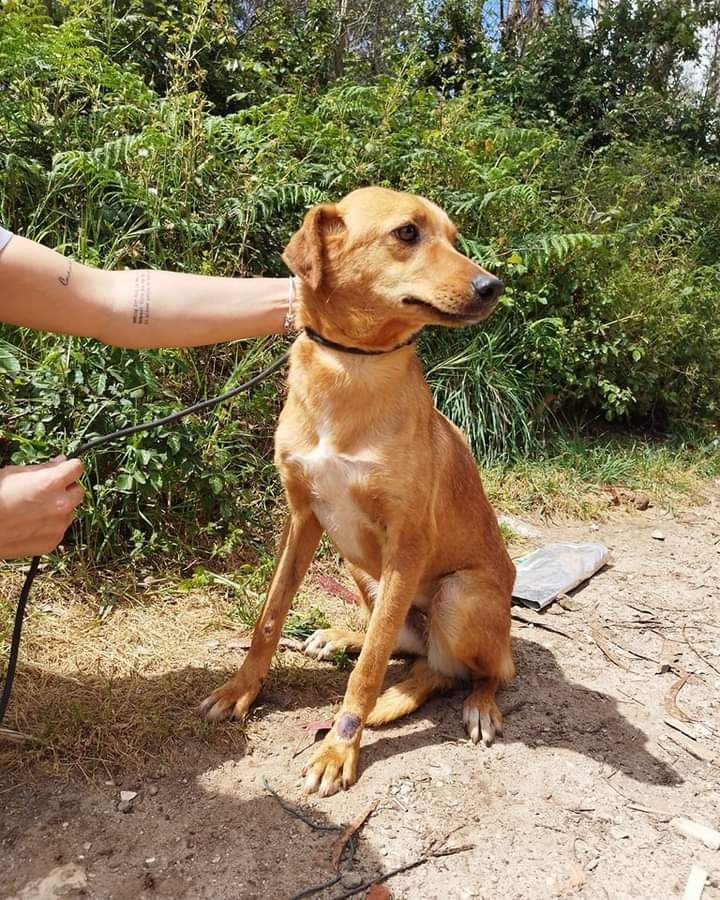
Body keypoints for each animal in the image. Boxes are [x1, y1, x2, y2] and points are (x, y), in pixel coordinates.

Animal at [201, 188, 516, 796]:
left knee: (472, 671)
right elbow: (269, 619)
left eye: (454, 238)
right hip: (361, 569)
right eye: (407, 233)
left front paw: (339, 748)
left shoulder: (408, 543)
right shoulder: (302, 517)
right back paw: (344, 638)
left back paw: (476, 706)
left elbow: (368, 672)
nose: (492, 285)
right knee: (406, 649)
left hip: (459, 594)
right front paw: (240, 690)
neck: (349, 367)